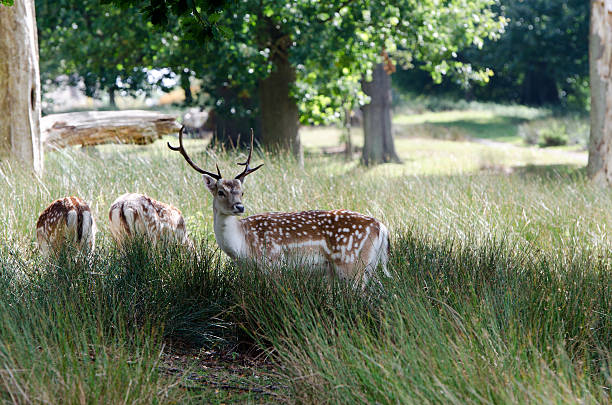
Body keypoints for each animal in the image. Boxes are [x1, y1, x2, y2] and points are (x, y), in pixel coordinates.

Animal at [166, 128, 392, 286]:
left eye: (242, 191)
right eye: (221, 191)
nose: (239, 207)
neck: (243, 245)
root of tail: (381, 227)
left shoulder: (273, 263)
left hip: (351, 264)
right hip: (368, 267)